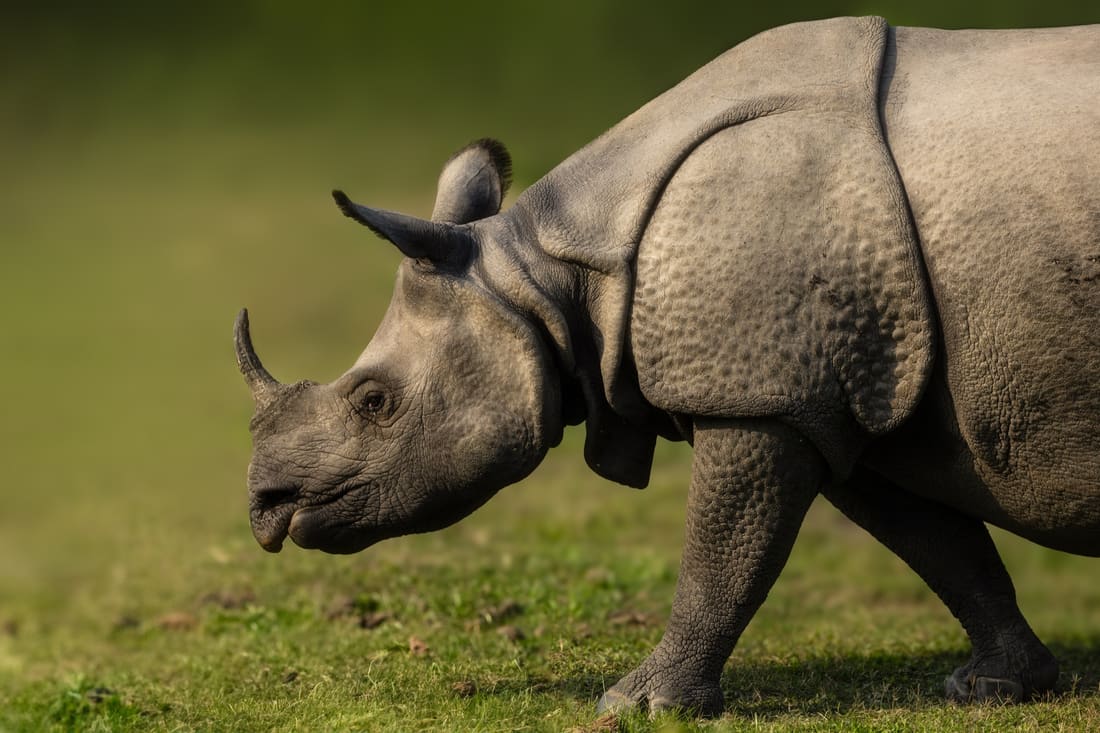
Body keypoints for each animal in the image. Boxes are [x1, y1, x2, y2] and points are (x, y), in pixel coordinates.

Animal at [235, 16, 1100, 715]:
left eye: (374, 401)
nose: (265, 509)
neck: (551, 278)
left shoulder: (760, 394)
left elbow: (722, 552)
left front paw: (638, 704)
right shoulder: (834, 391)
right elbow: (941, 544)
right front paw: (997, 684)